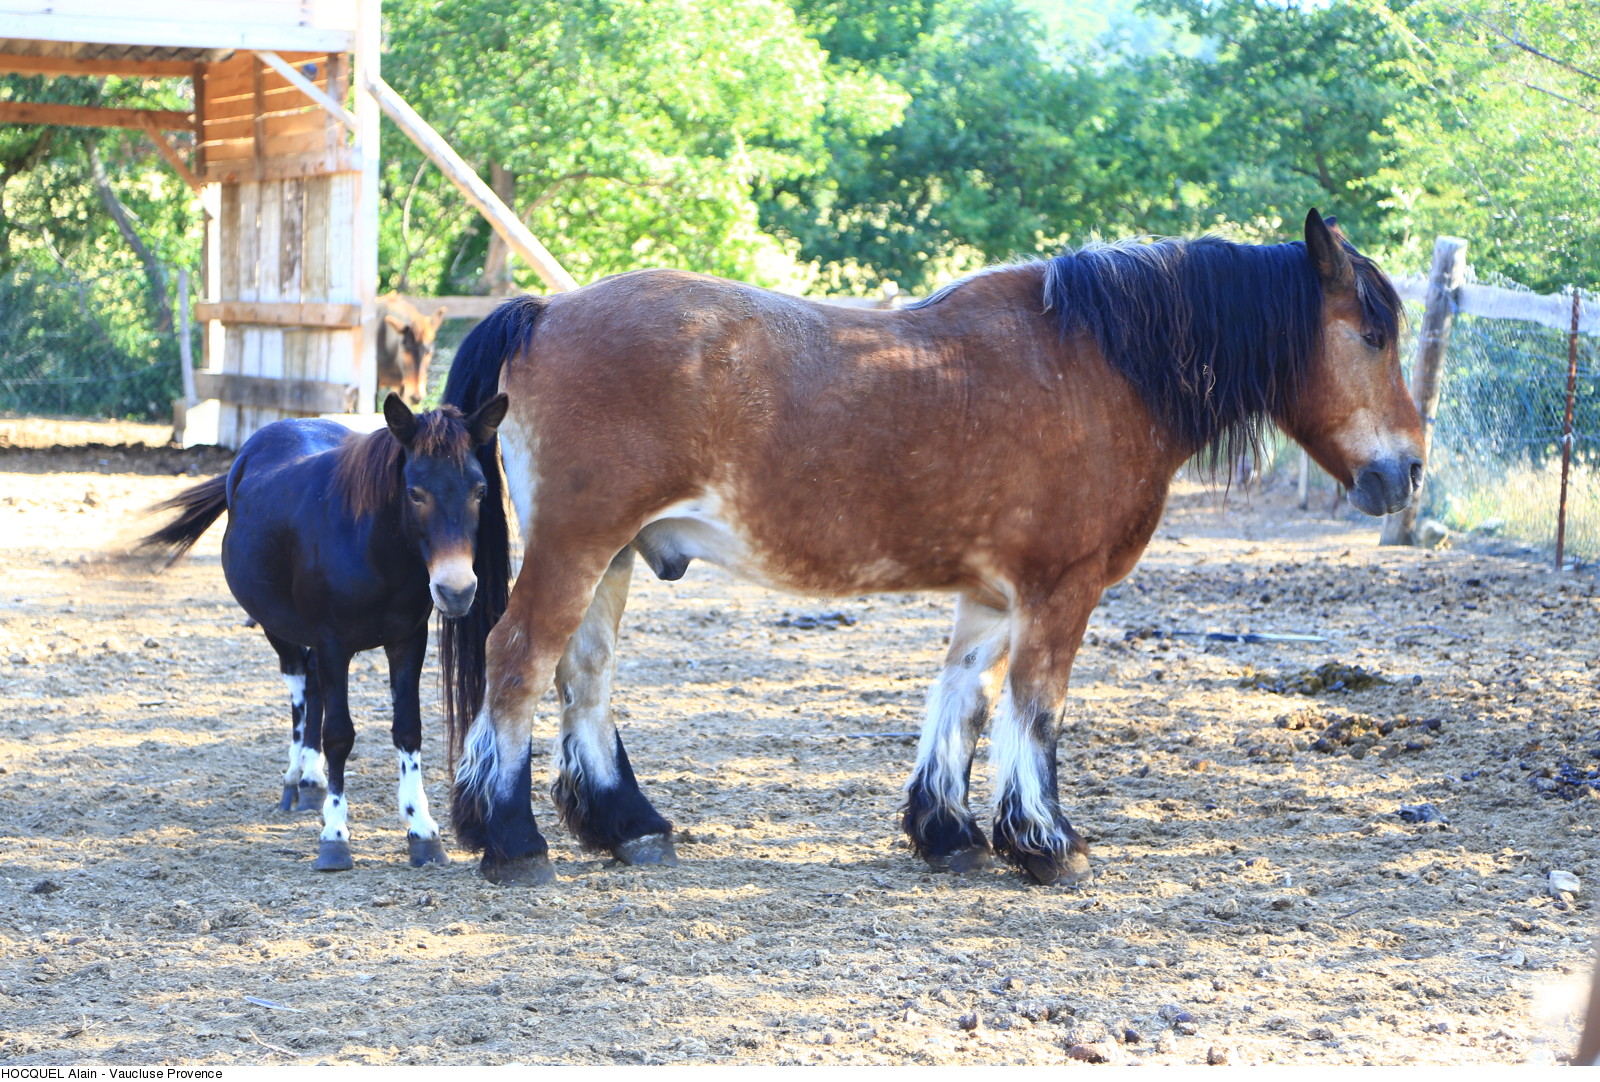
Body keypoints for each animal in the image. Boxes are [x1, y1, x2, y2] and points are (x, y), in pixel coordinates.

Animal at [144, 393, 508, 877]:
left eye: (480, 490)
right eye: (415, 491)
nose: (457, 590)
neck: (375, 550)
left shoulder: (407, 641)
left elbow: (408, 729)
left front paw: (422, 830)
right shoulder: (335, 642)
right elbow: (339, 734)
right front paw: (334, 835)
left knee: (313, 684)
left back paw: (312, 781)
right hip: (277, 625)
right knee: (300, 685)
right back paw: (295, 779)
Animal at [438, 209, 1427, 889]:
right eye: (1373, 333)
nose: (1409, 468)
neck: (1096, 366)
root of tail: (545, 312)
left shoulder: (993, 594)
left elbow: (966, 700)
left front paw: (948, 833)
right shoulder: (1060, 592)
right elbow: (1036, 710)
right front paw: (1048, 844)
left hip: (611, 559)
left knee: (584, 675)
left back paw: (626, 825)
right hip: (576, 549)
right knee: (519, 660)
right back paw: (512, 840)